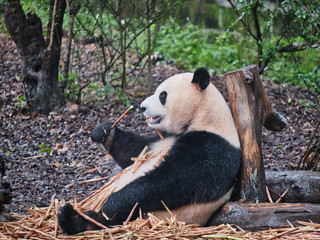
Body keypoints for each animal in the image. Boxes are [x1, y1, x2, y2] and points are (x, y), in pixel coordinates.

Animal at [58, 67, 242, 234]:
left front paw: (112, 199)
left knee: (109, 218)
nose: (142, 107)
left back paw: (72, 218)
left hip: (147, 215)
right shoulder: (164, 137)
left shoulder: (211, 146)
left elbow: (170, 182)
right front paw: (105, 132)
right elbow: (136, 151)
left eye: (162, 95)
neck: (203, 115)